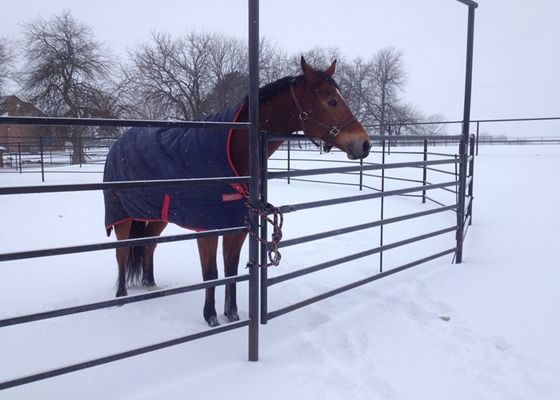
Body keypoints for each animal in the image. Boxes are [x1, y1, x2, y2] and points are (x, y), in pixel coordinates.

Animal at [104, 57, 372, 326]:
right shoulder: (207, 228)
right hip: (121, 216)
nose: (365, 144)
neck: (233, 152)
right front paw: (211, 317)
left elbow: (230, 269)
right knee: (122, 251)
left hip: (158, 214)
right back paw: (121, 295)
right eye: (332, 100)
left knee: (149, 244)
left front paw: (231, 314)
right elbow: (211, 273)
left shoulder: (238, 226)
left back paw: (150, 284)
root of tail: (118, 144)